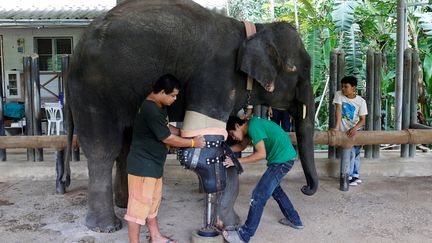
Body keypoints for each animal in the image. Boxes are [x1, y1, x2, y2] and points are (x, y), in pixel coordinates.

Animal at [65, 0, 318, 233]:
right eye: (301, 70)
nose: (306, 189)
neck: (252, 29)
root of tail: (74, 54)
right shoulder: (215, 77)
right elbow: (210, 149)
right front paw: (228, 225)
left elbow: (224, 145)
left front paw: (227, 223)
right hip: (95, 93)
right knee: (103, 150)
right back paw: (106, 226)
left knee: (125, 146)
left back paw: (126, 205)